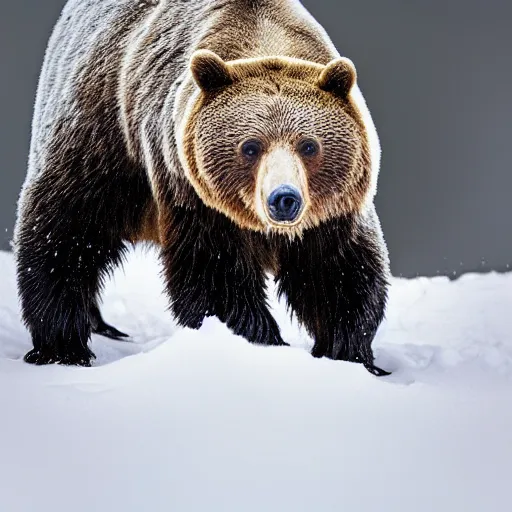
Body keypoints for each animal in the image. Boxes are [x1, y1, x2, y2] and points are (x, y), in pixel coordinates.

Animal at [15, 0, 392, 376]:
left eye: (309, 145)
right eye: (250, 147)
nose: (283, 199)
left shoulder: (333, 213)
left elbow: (339, 275)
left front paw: (348, 351)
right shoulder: (192, 194)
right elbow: (214, 280)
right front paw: (260, 340)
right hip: (101, 141)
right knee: (64, 230)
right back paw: (64, 345)